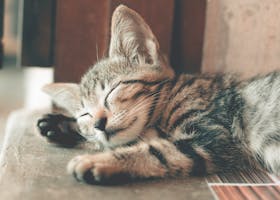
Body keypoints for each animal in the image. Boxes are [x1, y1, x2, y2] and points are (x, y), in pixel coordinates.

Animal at [37, 5, 280, 184]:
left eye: (112, 91)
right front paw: (60, 124)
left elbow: (157, 152)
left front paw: (99, 161)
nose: (98, 123)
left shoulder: (214, 137)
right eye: (85, 115)